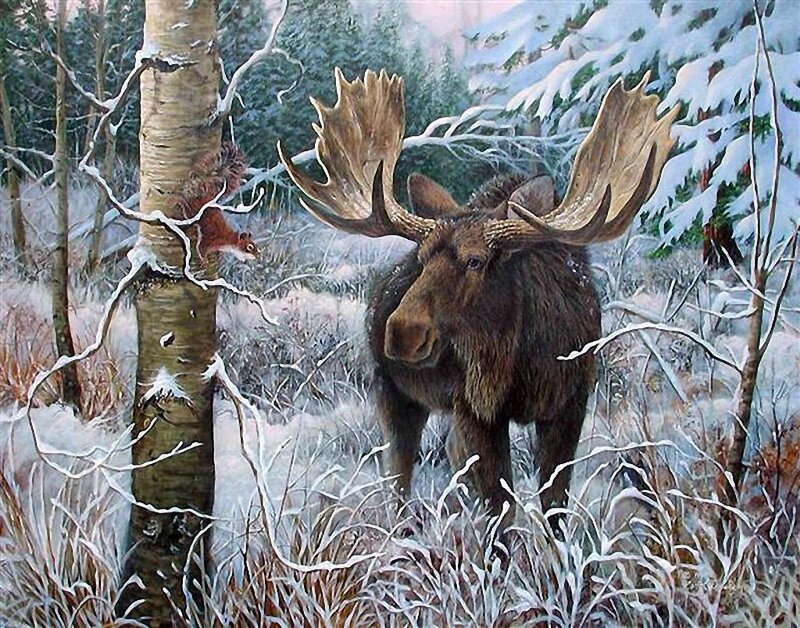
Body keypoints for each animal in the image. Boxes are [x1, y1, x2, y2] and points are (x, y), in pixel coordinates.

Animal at [278, 69, 678, 530]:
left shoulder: (570, 405)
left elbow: (553, 504)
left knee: (447, 455)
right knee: (399, 471)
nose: (402, 332)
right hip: (393, 391)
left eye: (475, 261)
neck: (522, 359)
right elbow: (500, 512)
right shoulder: (476, 409)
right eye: (422, 258)